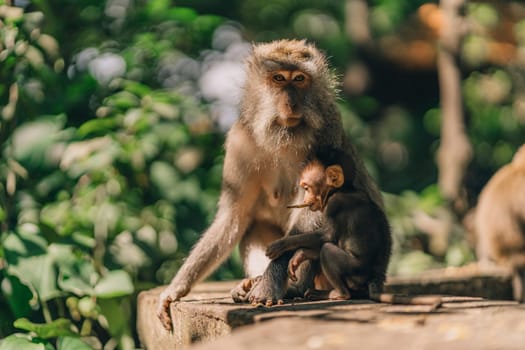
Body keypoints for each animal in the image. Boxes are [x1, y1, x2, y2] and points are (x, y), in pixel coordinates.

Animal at [156, 39, 380, 330]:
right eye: (278, 78)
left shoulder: (328, 130)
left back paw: (291, 288)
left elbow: (315, 208)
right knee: (253, 224)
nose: (291, 103)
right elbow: (234, 215)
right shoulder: (240, 140)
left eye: (299, 79)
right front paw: (175, 289)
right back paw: (249, 284)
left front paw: (269, 286)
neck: (283, 136)